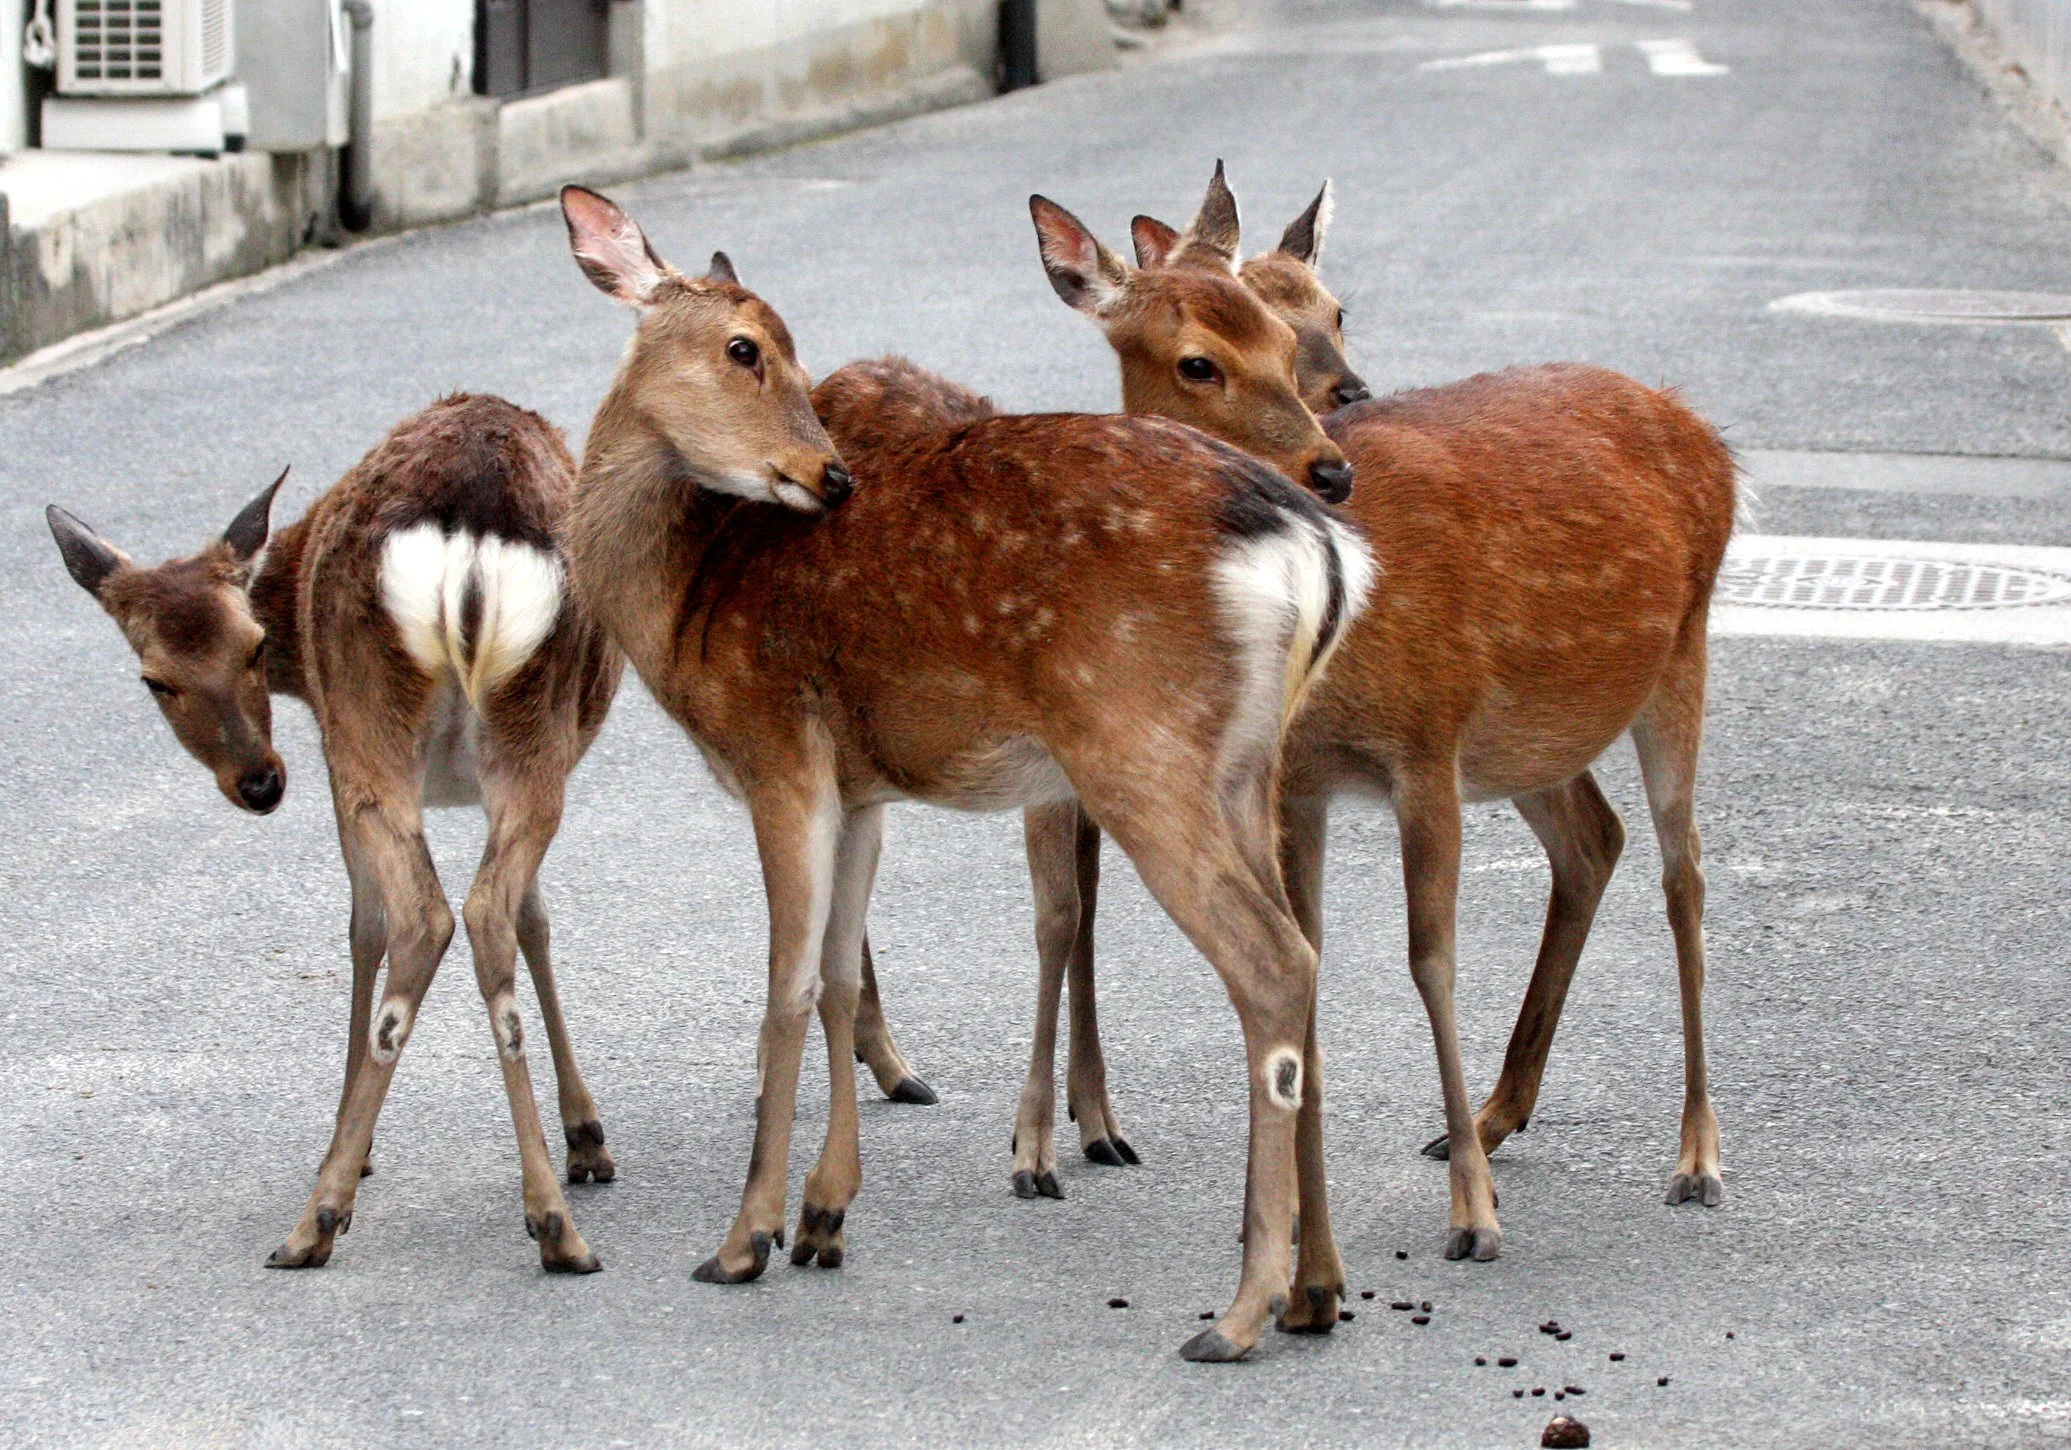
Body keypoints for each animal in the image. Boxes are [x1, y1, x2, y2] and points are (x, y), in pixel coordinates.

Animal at [48, 395, 628, 1275]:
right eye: (156, 680)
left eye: (255, 645)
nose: (259, 782)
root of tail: (471, 540)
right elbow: (534, 916)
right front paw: (587, 1138)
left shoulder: (328, 745)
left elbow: (364, 928)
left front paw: (351, 1147)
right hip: (534, 730)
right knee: (486, 912)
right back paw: (554, 1223)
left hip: (368, 723)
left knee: (421, 917)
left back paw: (319, 1215)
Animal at [556, 183, 1374, 1359]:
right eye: (746, 347)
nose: (828, 475)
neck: (687, 604)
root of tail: (1314, 548)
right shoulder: (855, 786)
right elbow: (838, 974)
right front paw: (825, 1216)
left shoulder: (777, 749)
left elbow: (783, 988)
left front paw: (744, 1237)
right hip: (1244, 765)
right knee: (1303, 950)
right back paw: (1314, 1286)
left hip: (1140, 744)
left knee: (1270, 960)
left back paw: (1239, 1308)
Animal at [1022, 164, 1736, 1265]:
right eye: (1196, 362)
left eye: (1302, 334)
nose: (1330, 462)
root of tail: (1705, 432)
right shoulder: (1300, 780)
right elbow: (1303, 961)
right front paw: (1291, 1230)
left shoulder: (1425, 742)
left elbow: (1428, 959)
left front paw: (1473, 1218)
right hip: (1527, 733)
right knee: (1593, 838)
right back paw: (1488, 1116)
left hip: (1676, 658)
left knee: (1684, 871)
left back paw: (1694, 1155)